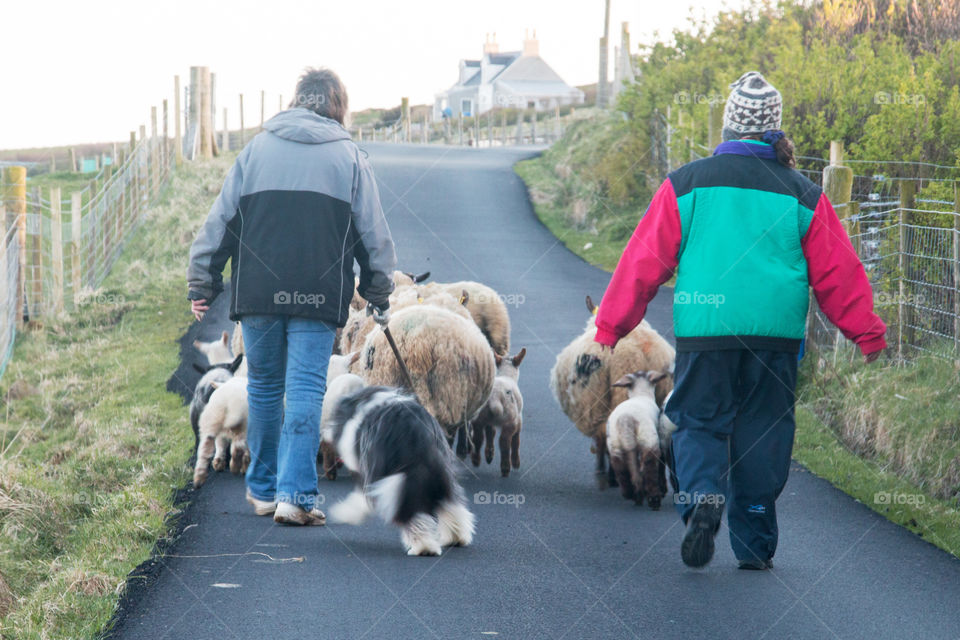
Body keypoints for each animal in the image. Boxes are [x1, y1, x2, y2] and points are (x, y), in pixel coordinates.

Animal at [322, 384, 476, 556]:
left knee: (411, 514)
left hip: (401, 478)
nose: (325, 433)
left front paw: (345, 513)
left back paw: (424, 547)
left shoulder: (369, 471)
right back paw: (456, 537)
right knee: (451, 505)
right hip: (442, 472)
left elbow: (361, 498)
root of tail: (417, 437)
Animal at [608, 370, 668, 510]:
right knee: (649, 464)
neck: (641, 394)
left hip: (615, 444)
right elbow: (661, 463)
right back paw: (653, 498)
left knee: (620, 466)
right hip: (649, 439)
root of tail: (625, 419)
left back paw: (631, 493)